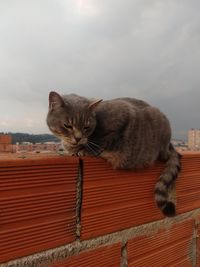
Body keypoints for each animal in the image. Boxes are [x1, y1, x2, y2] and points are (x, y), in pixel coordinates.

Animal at [46, 91, 181, 218]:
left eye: (86, 127)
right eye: (67, 125)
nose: (78, 138)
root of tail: (169, 144)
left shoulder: (122, 114)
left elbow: (101, 142)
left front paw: (83, 150)